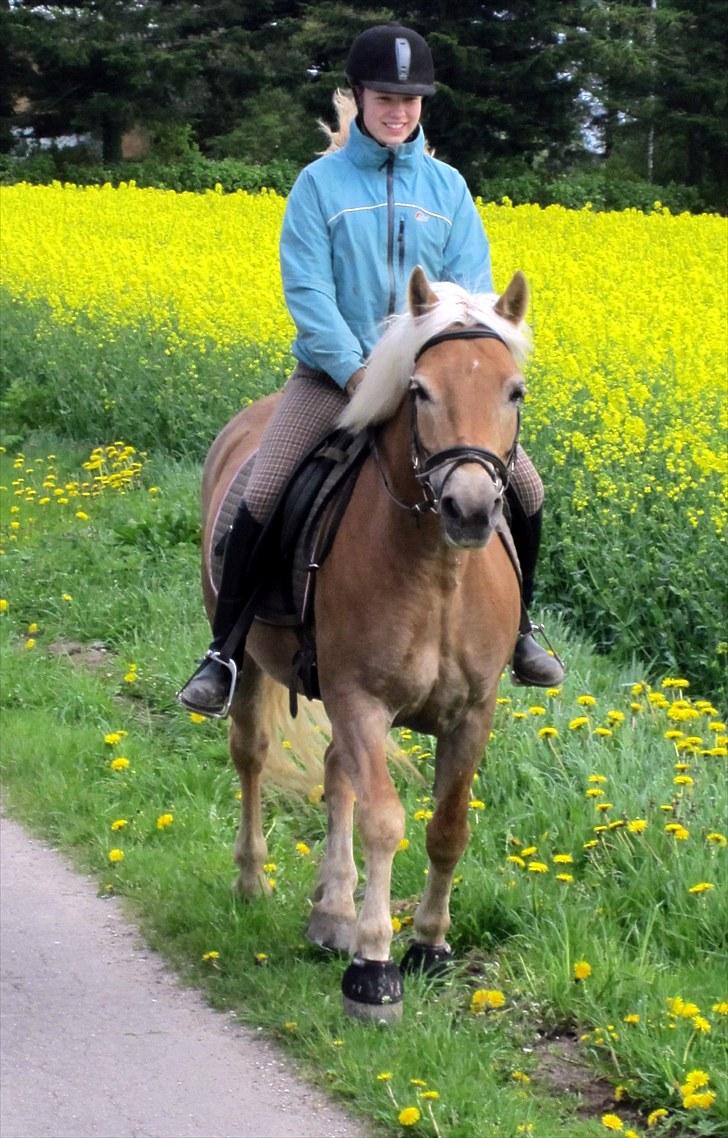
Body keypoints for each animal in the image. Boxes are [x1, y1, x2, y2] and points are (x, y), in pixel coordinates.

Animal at [202, 264, 532, 1024]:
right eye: (421, 390)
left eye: (514, 390)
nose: (470, 509)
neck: (439, 574)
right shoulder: (360, 699)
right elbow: (385, 820)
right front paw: (374, 969)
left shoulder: (473, 714)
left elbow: (448, 827)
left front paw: (429, 946)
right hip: (253, 666)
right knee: (252, 755)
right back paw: (255, 881)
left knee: (334, 774)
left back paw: (332, 912)